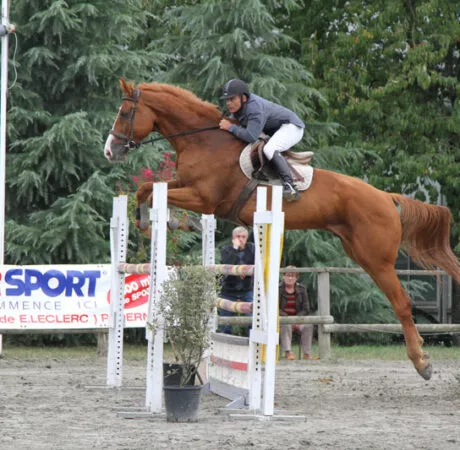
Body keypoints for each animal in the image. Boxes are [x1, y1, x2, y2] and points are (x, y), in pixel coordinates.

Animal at [105, 78, 460, 380]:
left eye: (124, 113)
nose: (111, 151)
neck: (205, 140)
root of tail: (387, 197)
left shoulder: (204, 198)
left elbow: (154, 192)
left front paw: (172, 221)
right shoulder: (186, 185)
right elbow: (146, 189)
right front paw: (158, 221)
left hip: (377, 259)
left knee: (402, 304)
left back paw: (422, 364)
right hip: (361, 254)